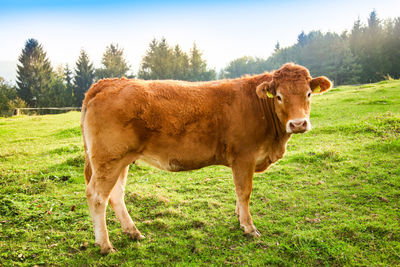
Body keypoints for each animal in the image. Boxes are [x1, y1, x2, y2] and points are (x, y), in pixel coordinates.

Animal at [80, 62, 332, 253]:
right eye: (279, 96)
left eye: (308, 94)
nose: (298, 123)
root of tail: (108, 82)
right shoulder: (244, 157)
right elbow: (244, 191)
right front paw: (248, 227)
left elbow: (238, 193)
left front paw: (239, 216)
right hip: (109, 160)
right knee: (97, 197)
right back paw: (105, 245)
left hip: (121, 160)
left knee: (116, 195)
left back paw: (133, 232)